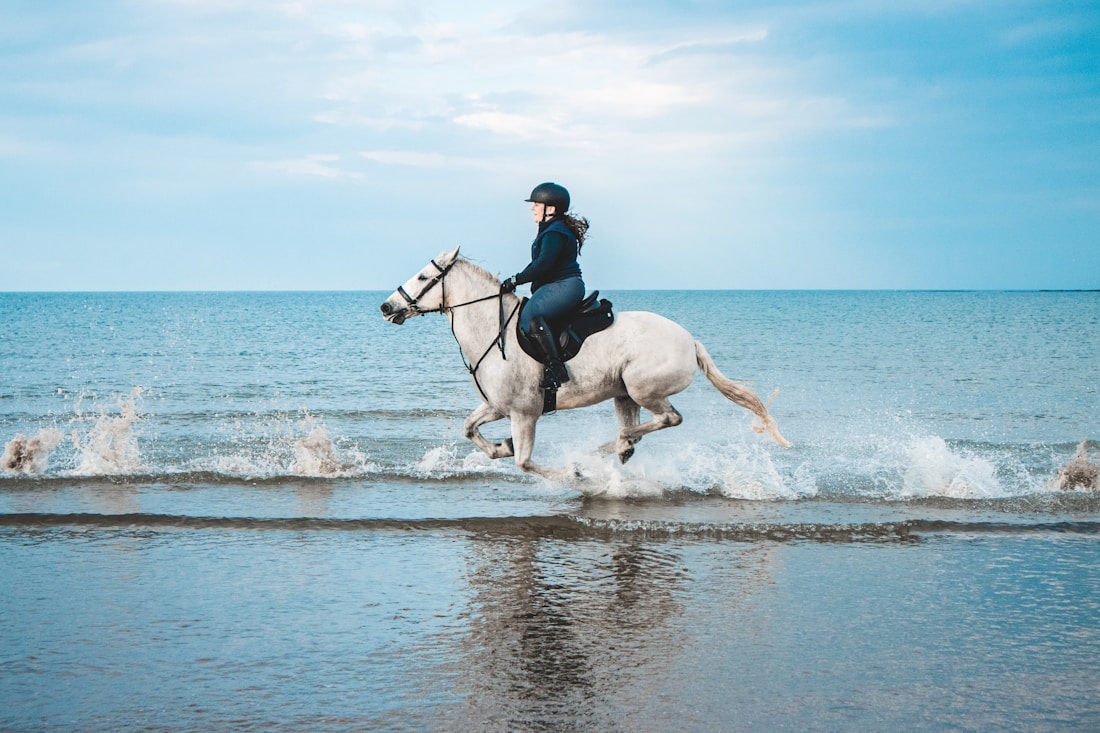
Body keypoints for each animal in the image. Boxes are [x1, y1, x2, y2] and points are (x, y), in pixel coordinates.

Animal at [380, 248, 790, 482]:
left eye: (423, 276)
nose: (386, 307)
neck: (494, 332)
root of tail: (690, 341)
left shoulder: (524, 413)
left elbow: (525, 463)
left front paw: (571, 473)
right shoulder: (497, 406)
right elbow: (469, 429)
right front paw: (500, 447)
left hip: (643, 388)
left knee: (669, 418)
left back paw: (603, 452)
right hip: (624, 395)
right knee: (638, 427)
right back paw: (617, 448)